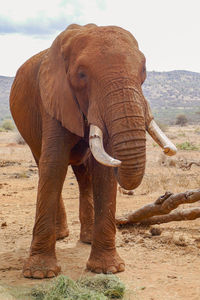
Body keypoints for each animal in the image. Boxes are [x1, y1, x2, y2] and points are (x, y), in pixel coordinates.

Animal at [9, 23, 177, 278]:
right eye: (81, 75)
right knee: (44, 164)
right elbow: (54, 164)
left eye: (144, 70)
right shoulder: (54, 98)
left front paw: (109, 269)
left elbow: (102, 171)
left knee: (84, 175)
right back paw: (61, 236)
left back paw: (86, 238)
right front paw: (39, 274)